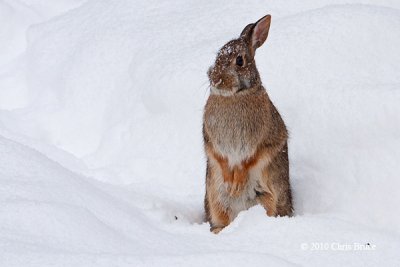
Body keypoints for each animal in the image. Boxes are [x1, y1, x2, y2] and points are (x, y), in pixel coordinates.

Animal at [203, 14, 294, 233]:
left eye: (240, 60)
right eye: (218, 55)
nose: (215, 79)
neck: (234, 97)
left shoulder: (264, 140)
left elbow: (250, 160)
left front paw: (237, 183)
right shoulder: (211, 141)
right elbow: (221, 159)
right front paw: (231, 183)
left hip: (267, 197)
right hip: (216, 199)